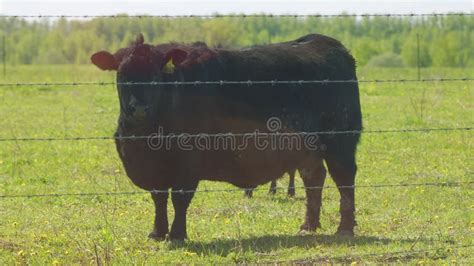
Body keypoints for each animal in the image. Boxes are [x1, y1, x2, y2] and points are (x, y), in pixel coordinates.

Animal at [90, 33, 362, 241]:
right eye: (122, 75)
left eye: (156, 75)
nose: (139, 109)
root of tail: (322, 41)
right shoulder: (154, 169)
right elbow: (158, 198)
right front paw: (157, 233)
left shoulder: (188, 164)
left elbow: (179, 198)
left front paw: (177, 235)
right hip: (307, 149)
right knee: (314, 177)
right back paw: (309, 225)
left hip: (340, 141)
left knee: (344, 179)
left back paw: (345, 228)